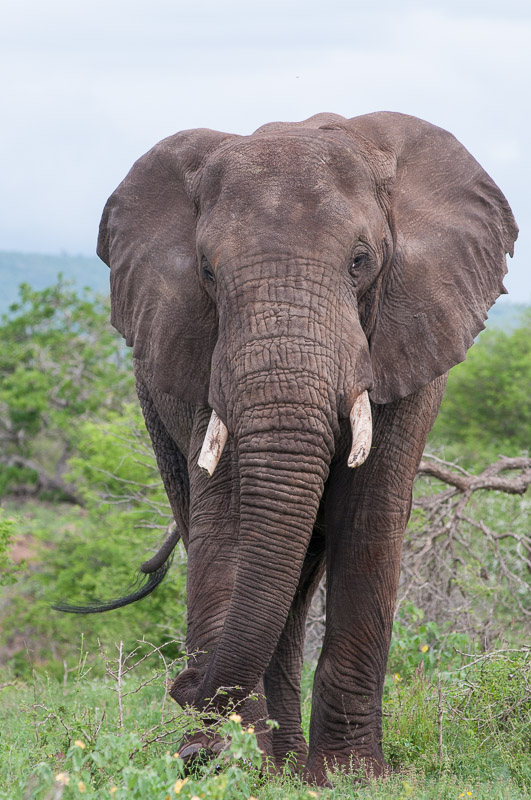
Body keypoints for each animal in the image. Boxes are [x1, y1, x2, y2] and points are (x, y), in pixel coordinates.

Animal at [60, 109, 516, 784]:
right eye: (207, 272)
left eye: (360, 261)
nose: (183, 681)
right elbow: (228, 524)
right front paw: (230, 768)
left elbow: (370, 522)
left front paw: (351, 777)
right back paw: (274, 767)